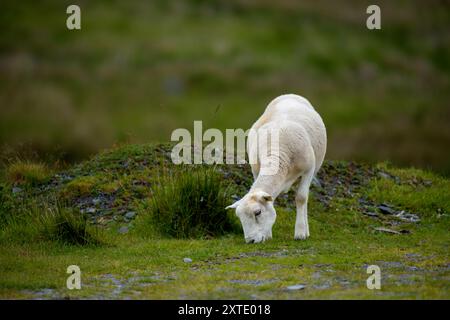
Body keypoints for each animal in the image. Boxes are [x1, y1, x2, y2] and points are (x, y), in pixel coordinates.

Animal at [225, 94, 326, 244]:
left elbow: (301, 198)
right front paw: (268, 235)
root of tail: (289, 94)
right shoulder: (256, 170)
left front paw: (300, 233)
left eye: (258, 212)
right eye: (239, 218)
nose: (250, 241)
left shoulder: (309, 170)